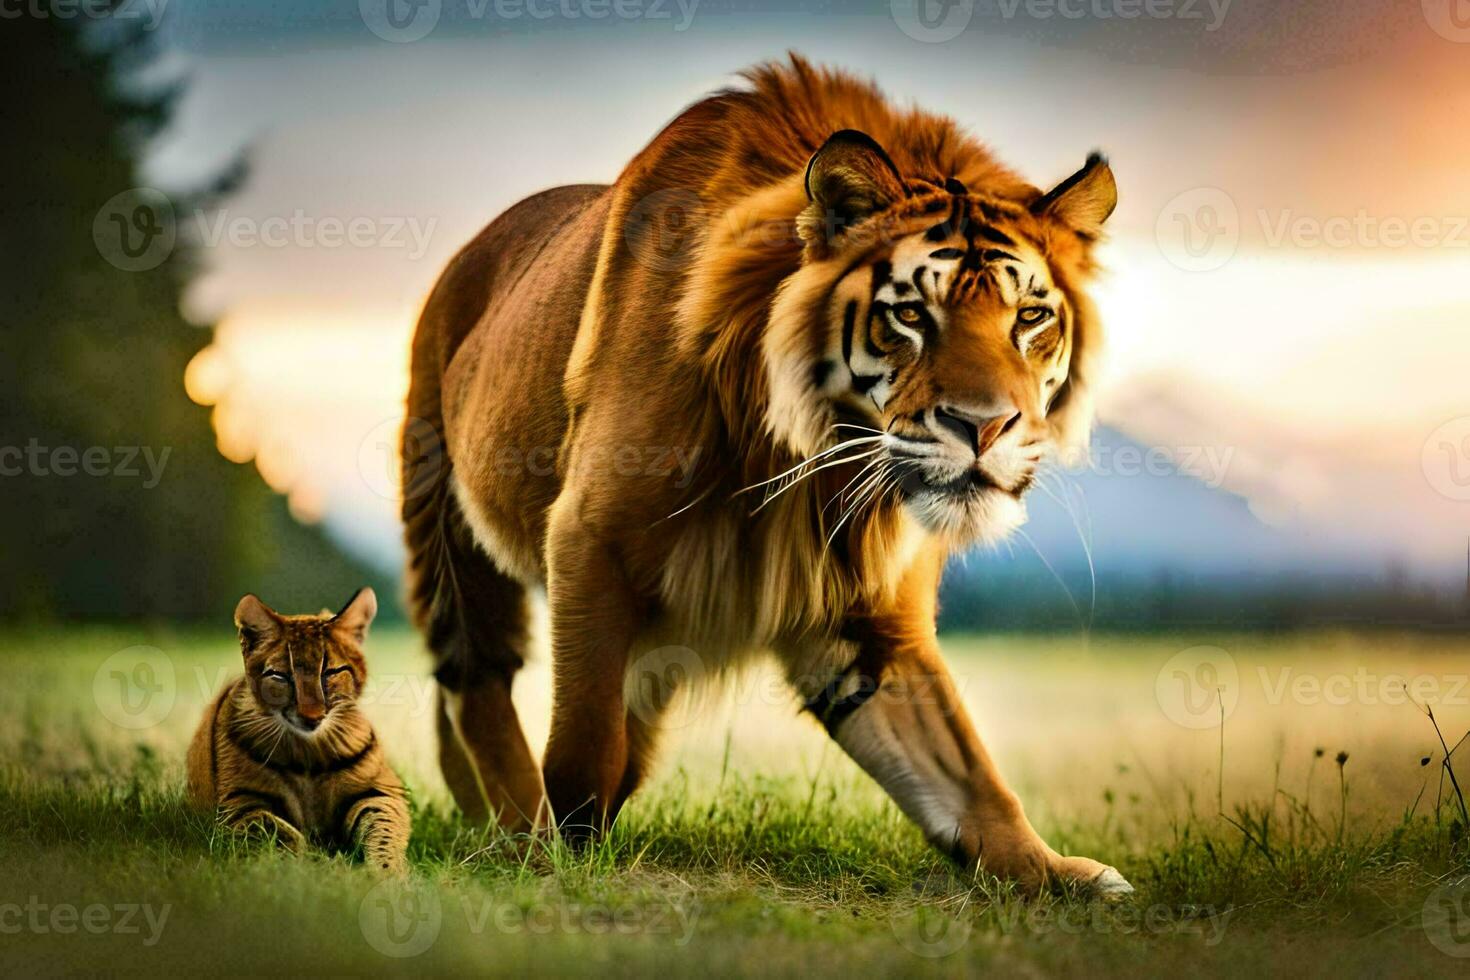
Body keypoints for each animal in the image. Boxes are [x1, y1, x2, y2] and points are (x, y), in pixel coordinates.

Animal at [186, 587, 414, 875]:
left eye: (331, 672)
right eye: (282, 676)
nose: (311, 716)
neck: (309, 751)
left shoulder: (381, 791)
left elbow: (384, 832)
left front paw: (386, 874)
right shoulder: (239, 802)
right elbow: (279, 831)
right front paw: (313, 866)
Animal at [396, 53, 1128, 899]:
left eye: (1029, 319)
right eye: (912, 314)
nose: (984, 427)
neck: (812, 459)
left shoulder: (867, 617)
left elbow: (969, 772)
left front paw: (1058, 872)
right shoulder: (589, 536)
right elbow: (583, 748)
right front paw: (567, 860)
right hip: (448, 533)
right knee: (476, 685)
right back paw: (518, 833)